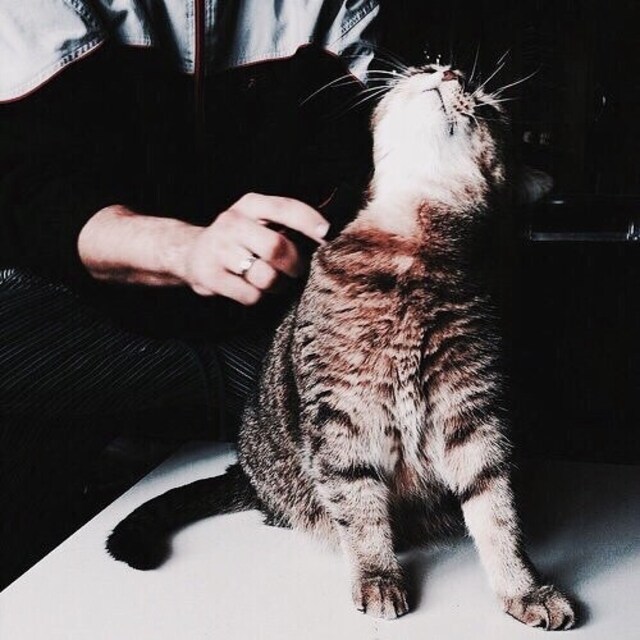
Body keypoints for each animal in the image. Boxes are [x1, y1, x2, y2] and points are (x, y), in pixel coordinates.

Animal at [107, 63, 576, 630]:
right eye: (427, 66)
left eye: (486, 108)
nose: (448, 70)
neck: (411, 248)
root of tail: (243, 472)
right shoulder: (340, 421)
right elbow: (359, 508)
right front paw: (376, 575)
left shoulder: (474, 415)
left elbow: (497, 513)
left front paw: (522, 588)